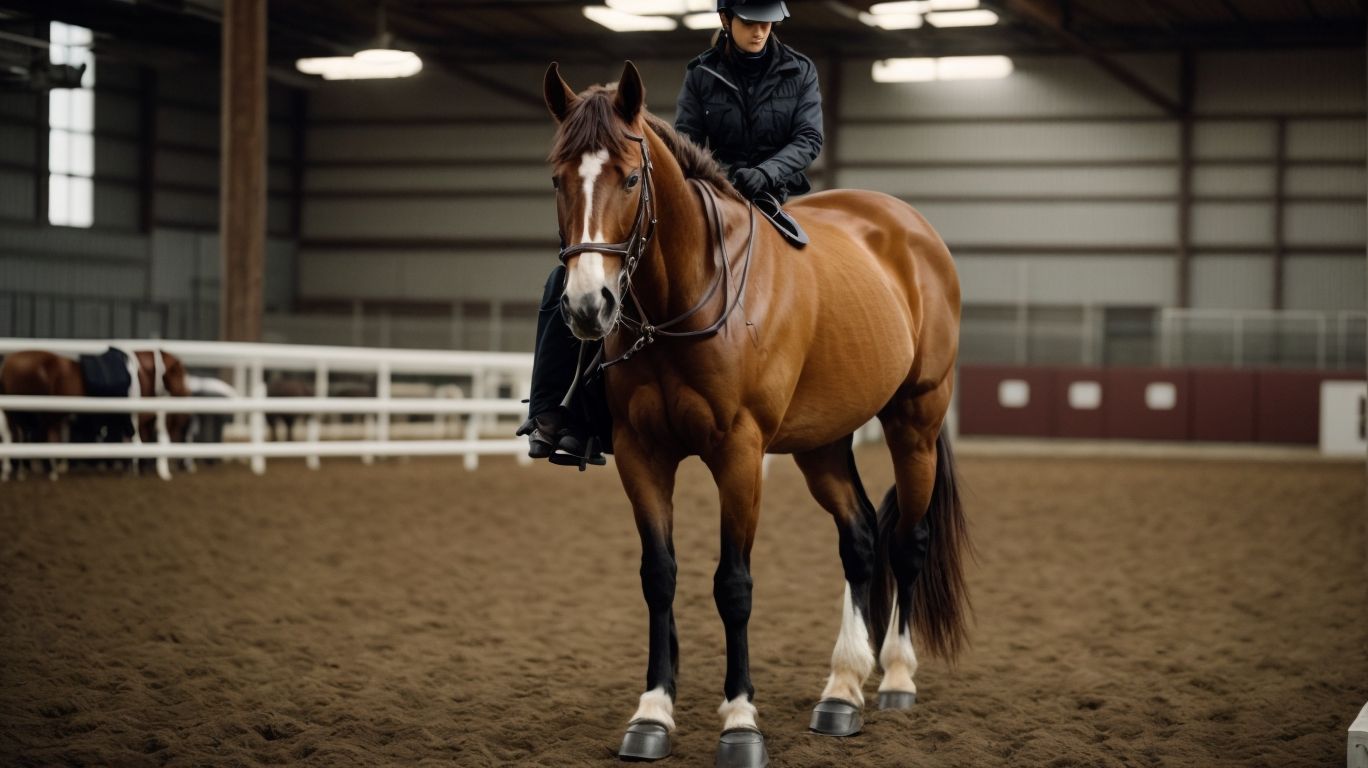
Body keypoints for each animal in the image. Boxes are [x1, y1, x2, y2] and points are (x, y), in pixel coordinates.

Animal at [0, 348, 192, 481]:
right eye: (179, 373)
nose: (185, 393)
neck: (141, 374)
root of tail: (8, 363)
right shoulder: (134, 419)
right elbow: (136, 443)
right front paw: (134, 470)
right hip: (35, 415)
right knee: (35, 438)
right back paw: (49, 471)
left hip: (21, 416)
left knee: (21, 438)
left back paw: (19, 471)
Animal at [543, 62, 970, 766]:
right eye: (557, 178)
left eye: (630, 178)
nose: (587, 305)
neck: (684, 300)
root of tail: (912, 230)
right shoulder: (640, 453)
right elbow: (658, 575)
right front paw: (652, 712)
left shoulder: (739, 453)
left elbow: (733, 585)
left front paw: (741, 721)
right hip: (821, 444)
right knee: (860, 540)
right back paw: (841, 690)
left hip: (916, 424)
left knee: (907, 542)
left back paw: (896, 678)